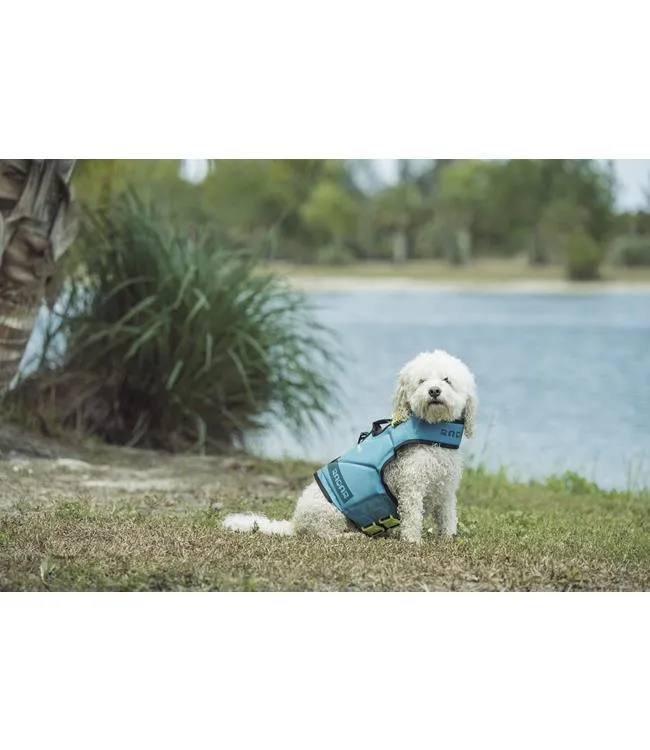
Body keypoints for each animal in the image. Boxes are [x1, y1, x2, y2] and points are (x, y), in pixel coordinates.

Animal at [223, 352, 476, 548]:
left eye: (446, 380)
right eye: (422, 381)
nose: (433, 391)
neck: (432, 434)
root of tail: (295, 523)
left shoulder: (446, 490)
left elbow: (447, 517)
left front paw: (449, 537)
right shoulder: (411, 487)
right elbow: (412, 516)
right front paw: (412, 541)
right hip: (330, 514)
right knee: (324, 535)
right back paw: (349, 537)